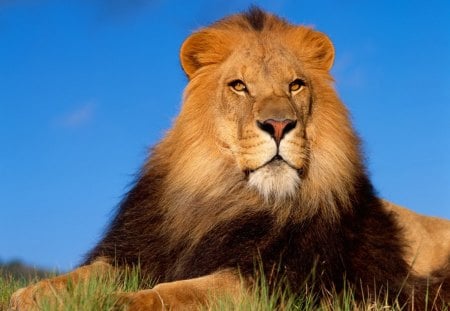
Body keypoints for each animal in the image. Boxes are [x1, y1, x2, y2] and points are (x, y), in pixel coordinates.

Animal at [7, 7, 450, 311]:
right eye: (239, 86)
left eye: (296, 85)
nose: (278, 125)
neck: (227, 197)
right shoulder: (140, 250)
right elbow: (84, 274)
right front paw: (30, 294)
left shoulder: (282, 278)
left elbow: (187, 291)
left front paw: (123, 301)